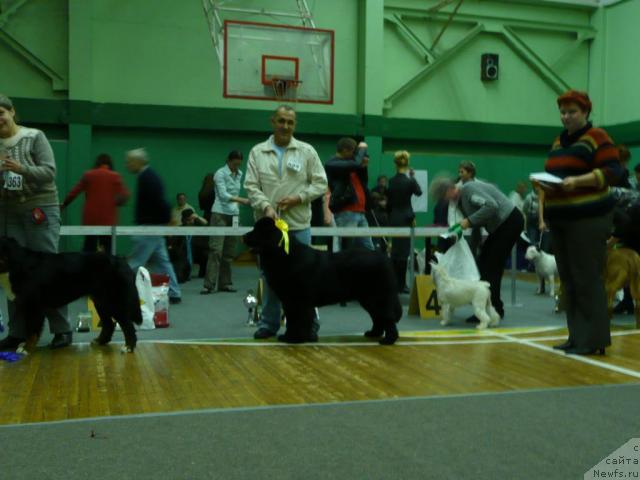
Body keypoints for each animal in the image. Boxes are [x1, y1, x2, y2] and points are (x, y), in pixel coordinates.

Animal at [0, 237, 141, 352]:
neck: (15, 265)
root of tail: (122, 260)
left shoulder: (34, 306)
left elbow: (32, 331)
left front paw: (26, 348)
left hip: (113, 301)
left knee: (127, 325)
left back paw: (129, 347)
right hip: (101, 302)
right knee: (109, 324)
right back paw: (100, 341)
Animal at [242, 218, 402, 344]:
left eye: (257, 231)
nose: (243, 236)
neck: (284, 255)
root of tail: (385, 258)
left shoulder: (298, 301)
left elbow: (298, 320)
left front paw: (294, 339)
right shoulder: (289, 301)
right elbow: (292, 320)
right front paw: (289, 337)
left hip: (377, 298)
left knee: (387, 317)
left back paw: (388, 340)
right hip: (368, 299)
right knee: (378, 317)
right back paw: (373, 333)